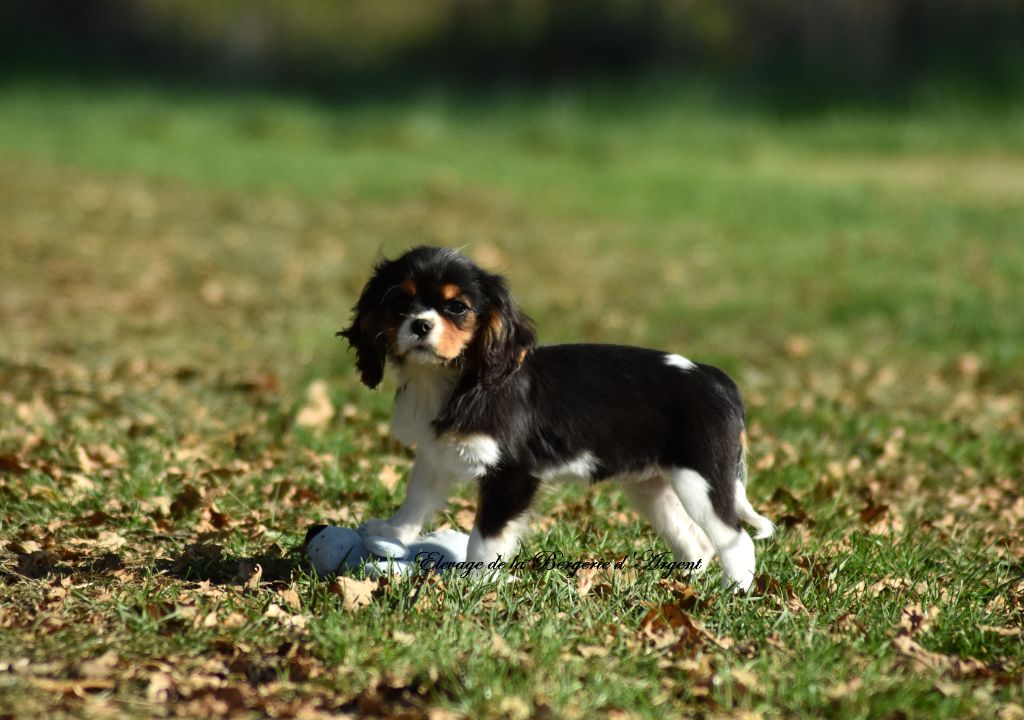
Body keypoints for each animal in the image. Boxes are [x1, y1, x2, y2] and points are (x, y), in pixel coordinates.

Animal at [339, 244, 770, 589]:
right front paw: (391, 530)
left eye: (456, 308)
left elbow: (485, 537)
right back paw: (680, 584)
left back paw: (732, 593)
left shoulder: (512, 474)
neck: (454, 380)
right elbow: (416, 500)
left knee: (737, 541)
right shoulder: (435, 455)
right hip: (652, 487)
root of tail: (717, 379)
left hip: (702, 482)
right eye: (400, 304)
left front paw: (477, 584)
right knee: (696, 541)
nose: (420, 325)